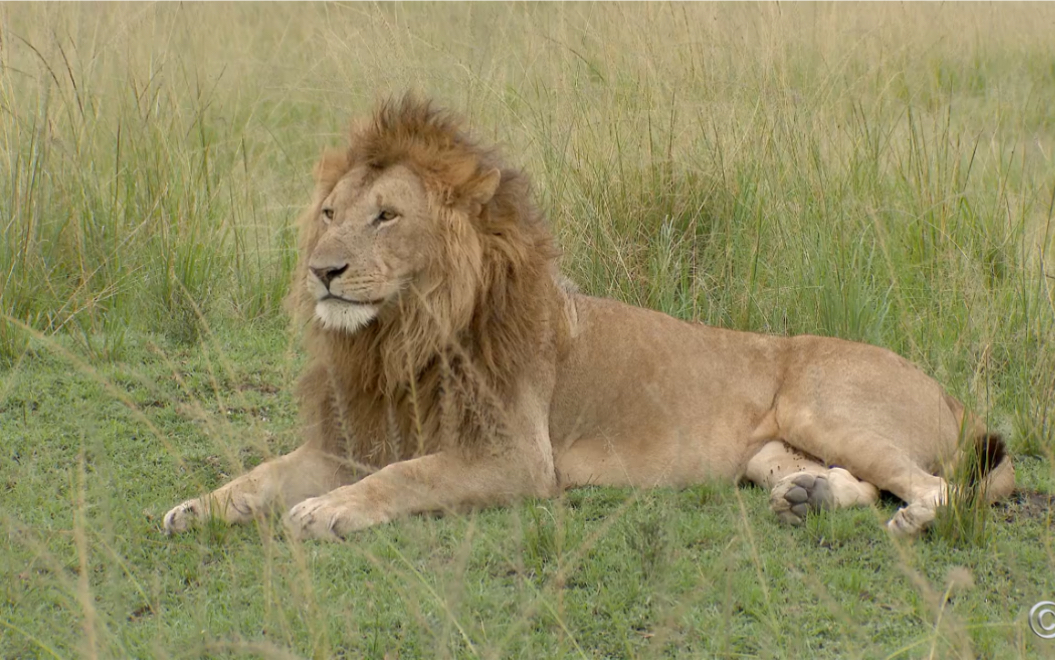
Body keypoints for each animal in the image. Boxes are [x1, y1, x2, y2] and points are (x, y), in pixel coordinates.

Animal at [162, 97, 1012, 539]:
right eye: (329, 214)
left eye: (385, 217)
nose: (321, 270)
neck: (396, 337)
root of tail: (947, 391)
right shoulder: (346, 440)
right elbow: (262, 474)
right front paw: (198, 507)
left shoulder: (513, 458)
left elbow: (405, 476)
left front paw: (331, 511)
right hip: (767, 450)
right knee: (861, 484)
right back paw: (808, 498)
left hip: (827, 405)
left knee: (940, 488)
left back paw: (913, 520)